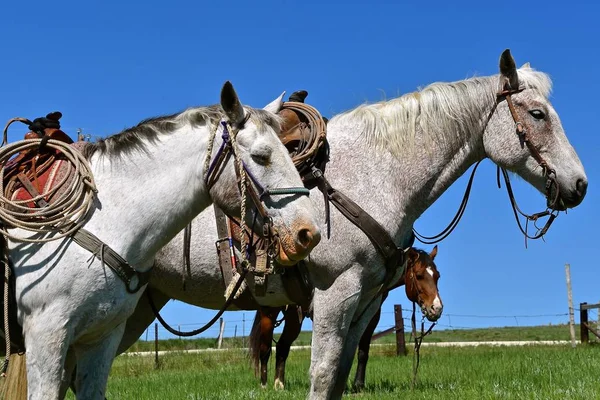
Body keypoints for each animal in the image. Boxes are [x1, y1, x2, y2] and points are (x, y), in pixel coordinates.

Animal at [247, 245, 440, 390]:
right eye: (419, 275)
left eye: (437, 276)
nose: (437, 308)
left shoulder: (371, 317)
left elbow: (362, 351)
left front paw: (358, 386)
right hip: (270, 315)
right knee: (266, 348)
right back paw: (265, 385)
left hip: (294, 318)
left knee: (282, 346)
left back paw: (279, 385)